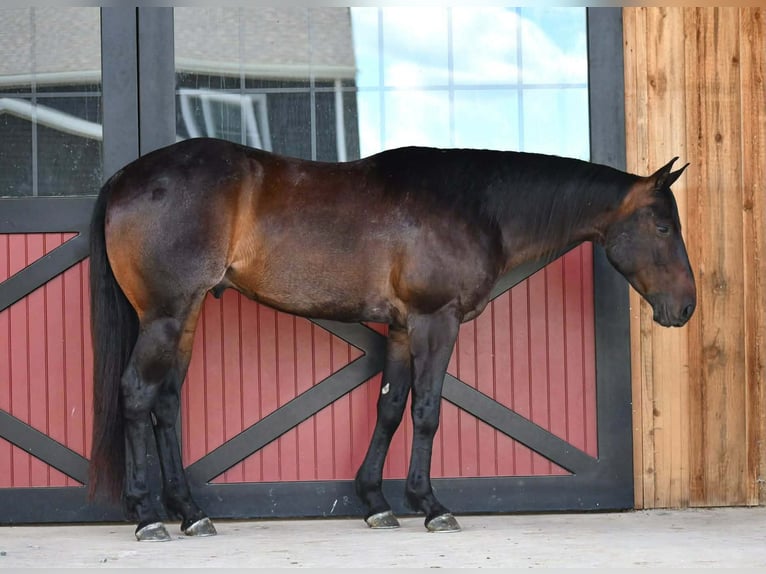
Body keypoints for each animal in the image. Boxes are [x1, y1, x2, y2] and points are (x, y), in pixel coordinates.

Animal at [87, 137, 696, 541]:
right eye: (663, 226)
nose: (686, 307)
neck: (472, 204)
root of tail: (124, 179)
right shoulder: (435, 321)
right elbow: (426, 410)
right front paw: (430, 504)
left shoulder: (403, 329)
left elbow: (389, 407)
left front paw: (376, 501)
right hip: (164, 316)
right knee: (137, 395)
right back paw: (147, 516)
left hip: (184, 317)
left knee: (167, 402)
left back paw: (191, 512)